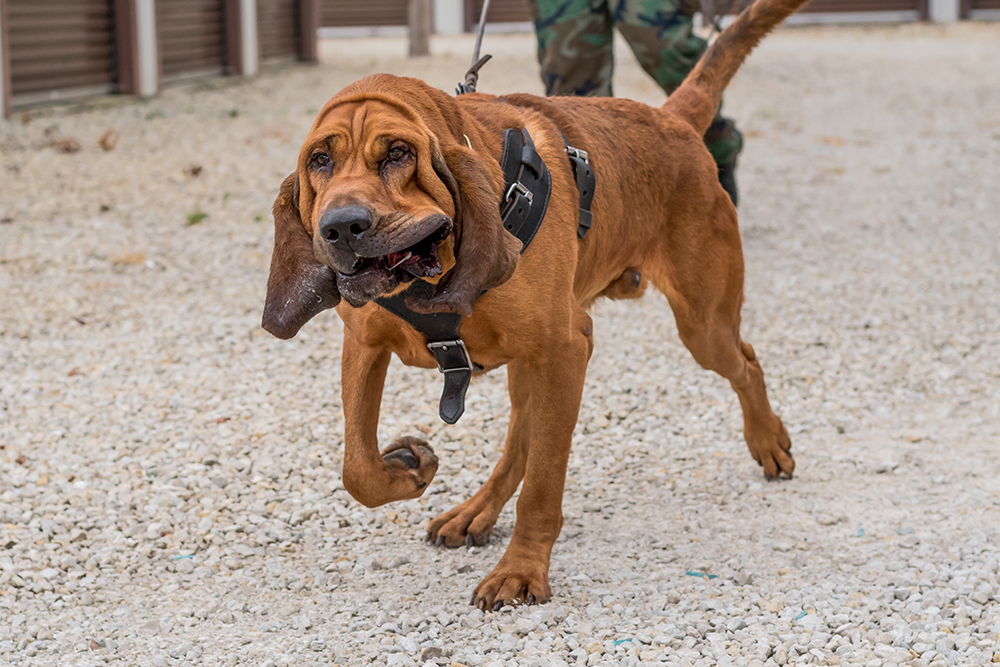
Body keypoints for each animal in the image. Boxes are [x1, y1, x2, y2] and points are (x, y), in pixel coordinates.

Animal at [260, 0, 804, 612]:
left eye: (398, 154)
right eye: (319, 161)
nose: (341, 227)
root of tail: (673, 120)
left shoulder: (567, 350)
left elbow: (543, 485)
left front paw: (521, 571)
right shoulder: (363, 346)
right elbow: (358, 467)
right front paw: (410, 468)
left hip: (699, 325)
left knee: (746, 361)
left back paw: (769, 441)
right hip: (533, 364)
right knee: (519, 441)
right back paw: (475, 512)